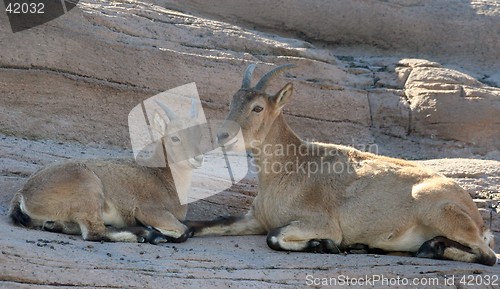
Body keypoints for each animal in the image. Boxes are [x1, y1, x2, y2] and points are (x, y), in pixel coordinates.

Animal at [9, 100, 203, 242]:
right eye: (175, 137)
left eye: (199, 134)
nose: (198, 158)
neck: (162, 176)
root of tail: (23, 194)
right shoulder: (148, 210)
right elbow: (184, 230)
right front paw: (157, 231)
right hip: (88, 190)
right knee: (94, 232)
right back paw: (149, 234)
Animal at [187, 64, 496, 264]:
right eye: (233, 101)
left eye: (258, 107)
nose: (222, 136)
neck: (292, 166)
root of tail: (480, 221)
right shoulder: (256, 218)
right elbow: (206, 223)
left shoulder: (322, 222)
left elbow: (274, 238)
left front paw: (322, 245)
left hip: (440, 211)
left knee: (488, 256)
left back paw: (430, 248)